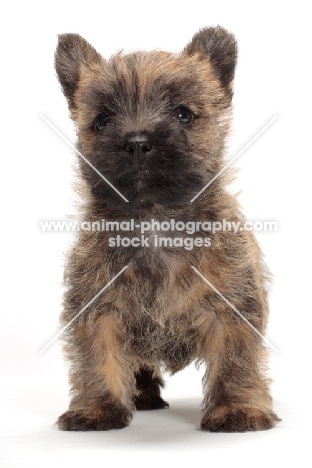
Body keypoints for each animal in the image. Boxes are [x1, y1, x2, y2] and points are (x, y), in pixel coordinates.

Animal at [54, 26, 280, 432]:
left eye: (182, 114)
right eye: (102, 120)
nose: (137, 142)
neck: (155, 220)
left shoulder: (232, 307)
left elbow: (235, 361)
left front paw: (237, 409)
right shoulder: (97, 307)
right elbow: (96, 358)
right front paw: (97, 408)